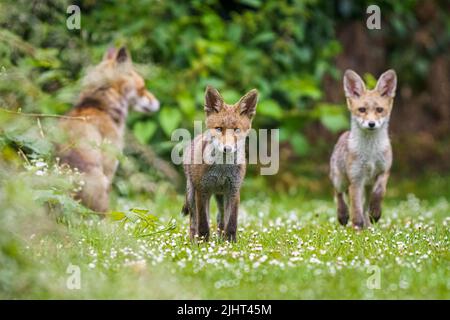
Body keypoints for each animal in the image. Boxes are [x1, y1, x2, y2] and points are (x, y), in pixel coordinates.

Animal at [181, 86, 258, 241]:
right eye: (219, 129)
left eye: (236, 130)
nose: (227, 148)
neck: (222, 169)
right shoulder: (202, 191)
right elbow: (203, 222)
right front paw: (203, 242)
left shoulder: (234, 191)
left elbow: (232, 222)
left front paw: (230, 242)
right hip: (192, 194)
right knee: (193, 220)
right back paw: (193, 240)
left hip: (220, 196)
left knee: (220, 218)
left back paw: (221, 239)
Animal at [330, 69, 398, 230]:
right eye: (362, 110)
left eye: (379, 110)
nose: (371, 124)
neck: (370, 154)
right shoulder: (356, 179)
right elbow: (356, 208)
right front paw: (357, 228)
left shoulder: (383, 171)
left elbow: (379, 193)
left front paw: (376, 212)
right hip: (340, 180)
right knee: (338, 194)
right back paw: (343, 215)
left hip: (367, 187)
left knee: (365, 205)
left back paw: (368, 223)